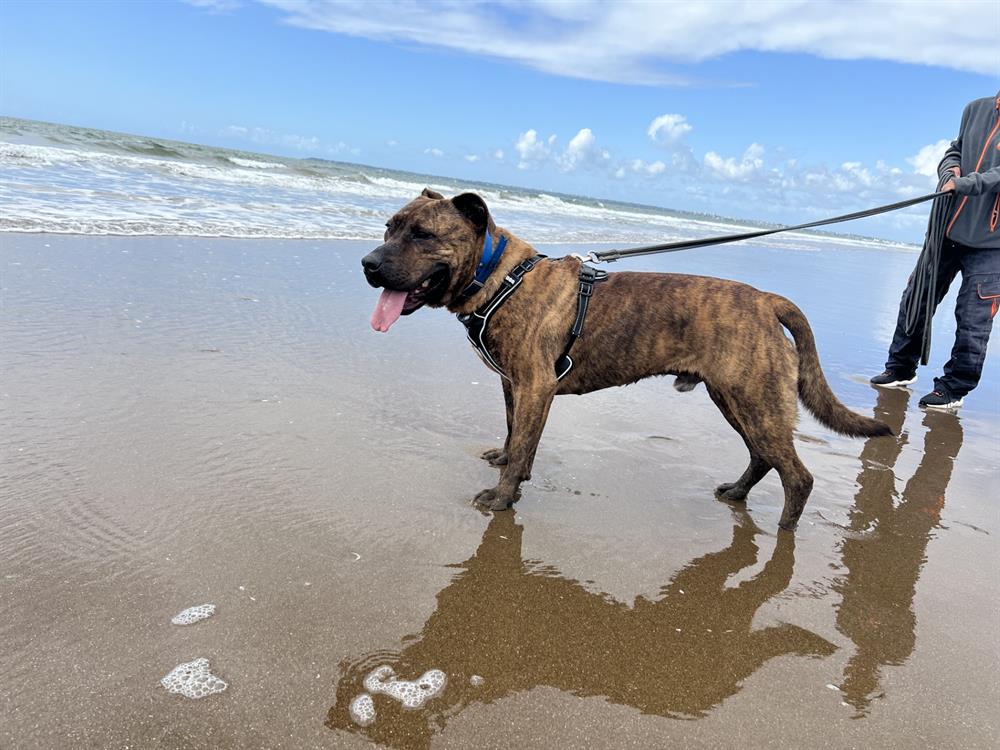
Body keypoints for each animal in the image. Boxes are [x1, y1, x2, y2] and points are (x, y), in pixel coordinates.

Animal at [362, 189, 892, 530]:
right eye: (388, 228)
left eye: (423, 234)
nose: (367, 264)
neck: (499, 277)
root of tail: (767, 300)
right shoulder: (515, 385)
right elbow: (517, 435)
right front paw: (511, 463)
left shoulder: (535, 385)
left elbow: (524, 441)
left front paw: (503, 497)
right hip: (734, 399)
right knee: (763, 456)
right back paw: (738, 494)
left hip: (755, 401)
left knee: (797, 476)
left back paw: (783, 533)